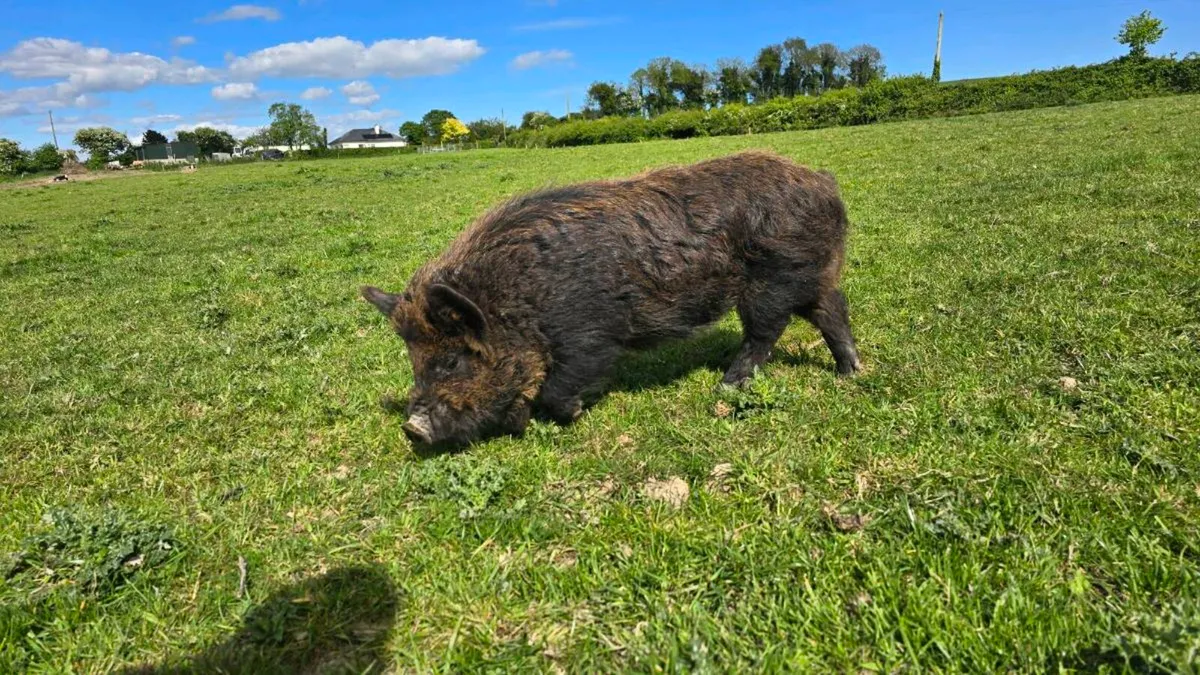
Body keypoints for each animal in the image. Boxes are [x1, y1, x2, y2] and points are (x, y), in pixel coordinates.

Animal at [362, 151, 863, 447]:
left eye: (451, 361)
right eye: (413, 361)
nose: (411, 427)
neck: (517, 299)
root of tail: (823, 182)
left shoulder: (590, 334)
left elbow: (560, 386)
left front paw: (571, 413)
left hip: (773, 279)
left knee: (767, 331)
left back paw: (726, 385)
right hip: (810, 274)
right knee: (832, 310)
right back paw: (850, 373)